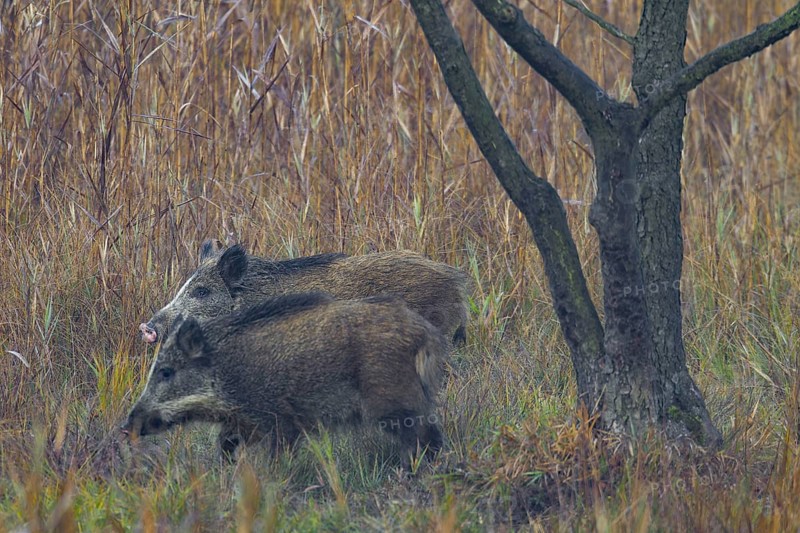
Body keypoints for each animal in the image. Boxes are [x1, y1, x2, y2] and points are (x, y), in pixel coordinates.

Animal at [123, 292, 447, 460]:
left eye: (166, 372)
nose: (126, 428)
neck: (227, 371)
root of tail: (426, 333)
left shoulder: (280, 421)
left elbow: (277, 457)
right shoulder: (244, 423)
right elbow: (225, 444)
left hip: (394, 403)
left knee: (426, 437)